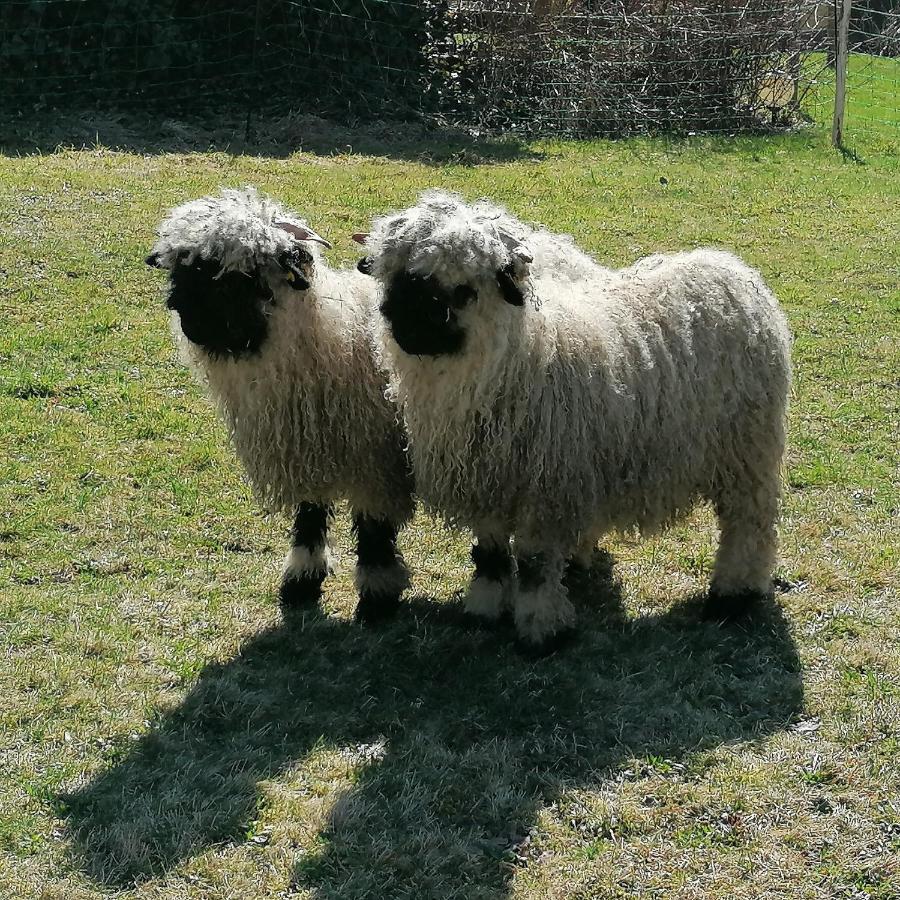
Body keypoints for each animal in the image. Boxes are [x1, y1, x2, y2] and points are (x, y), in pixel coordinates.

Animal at [356, 192, 792, 652]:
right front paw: (485, 609)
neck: (520, 362)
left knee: (749, 522)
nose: (404, 325)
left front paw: (540, 631)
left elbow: (535, 564)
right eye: (395, 279)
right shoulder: (490, 483)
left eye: (463, 290)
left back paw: (733, 595)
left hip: (747, 451)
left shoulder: (546, 488)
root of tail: (731, 268)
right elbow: (490, 553)